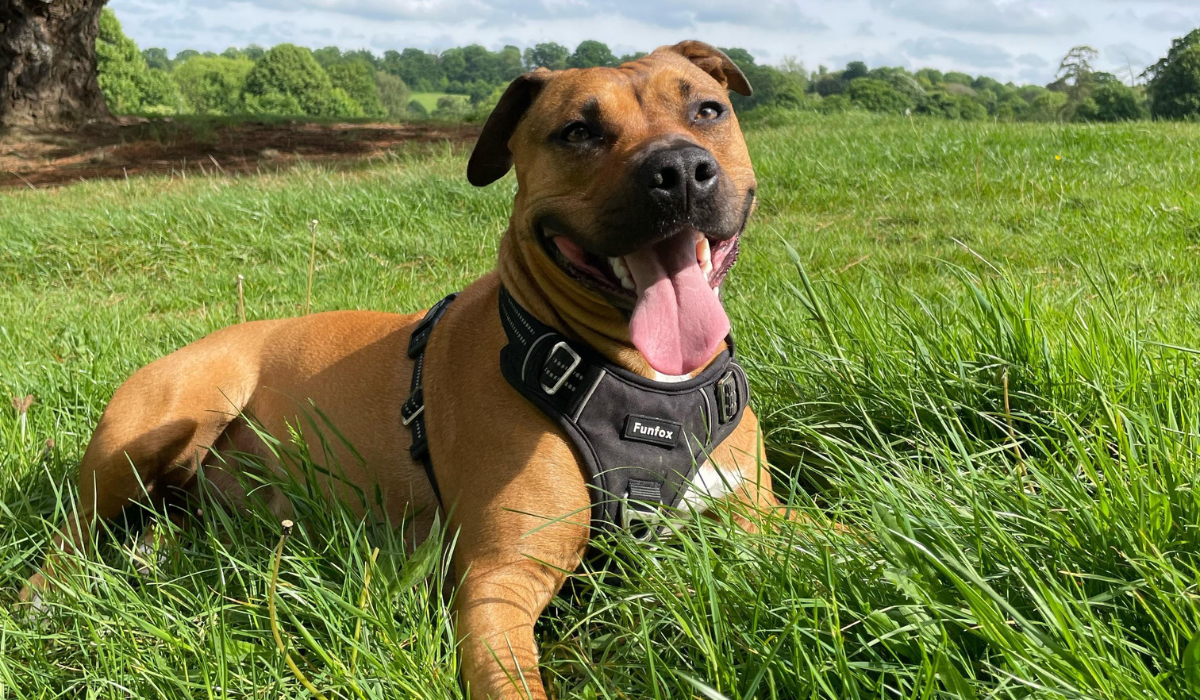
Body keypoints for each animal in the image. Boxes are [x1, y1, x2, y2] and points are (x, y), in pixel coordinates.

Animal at [21, 42, 787, 700]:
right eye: (577, 131)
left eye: (708, 110)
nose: (679, 170)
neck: (638, 383)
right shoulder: (498, 581)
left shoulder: (762, 517)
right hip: (159, 426)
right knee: (69, 537)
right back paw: (42, 604)